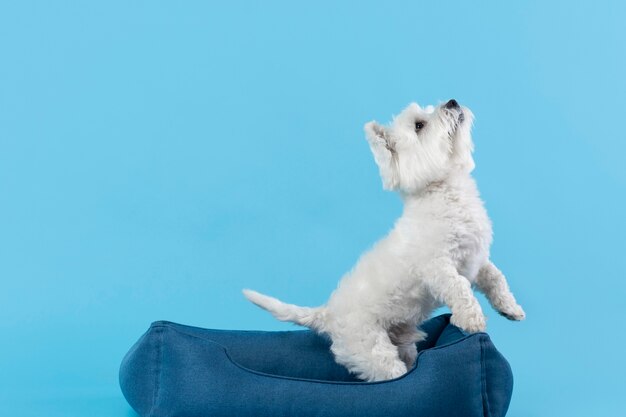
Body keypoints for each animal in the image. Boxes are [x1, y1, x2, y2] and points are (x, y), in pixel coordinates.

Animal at [241, 100, 524, 380]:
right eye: (419, 125)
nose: (452, 102)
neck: (443, 191)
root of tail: (328, 313)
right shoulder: (438, 268)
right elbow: (460, 288)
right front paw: (472, 318)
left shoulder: (476, 258)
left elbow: (496, 278)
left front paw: (509, 308)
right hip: (374, 352)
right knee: (392, 374)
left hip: (403, 342)